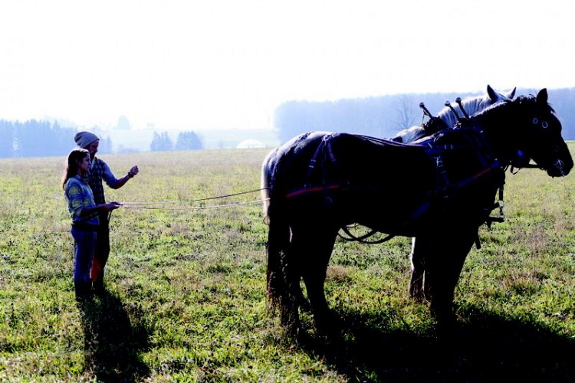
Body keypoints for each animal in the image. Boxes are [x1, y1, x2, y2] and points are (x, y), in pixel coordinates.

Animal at [260, 90, 572, 336]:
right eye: (546, 124)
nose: (566, 164)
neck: (469, 152)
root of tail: (284, 152)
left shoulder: (432, 231)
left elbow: (427, 267)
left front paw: (426, 304)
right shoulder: (458, 232)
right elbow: (446, 273)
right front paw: (443, 316)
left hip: (311, 228)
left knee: (303, 271)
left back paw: (316, 317)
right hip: (316, 228)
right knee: (301, 270)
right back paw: (303, 323)